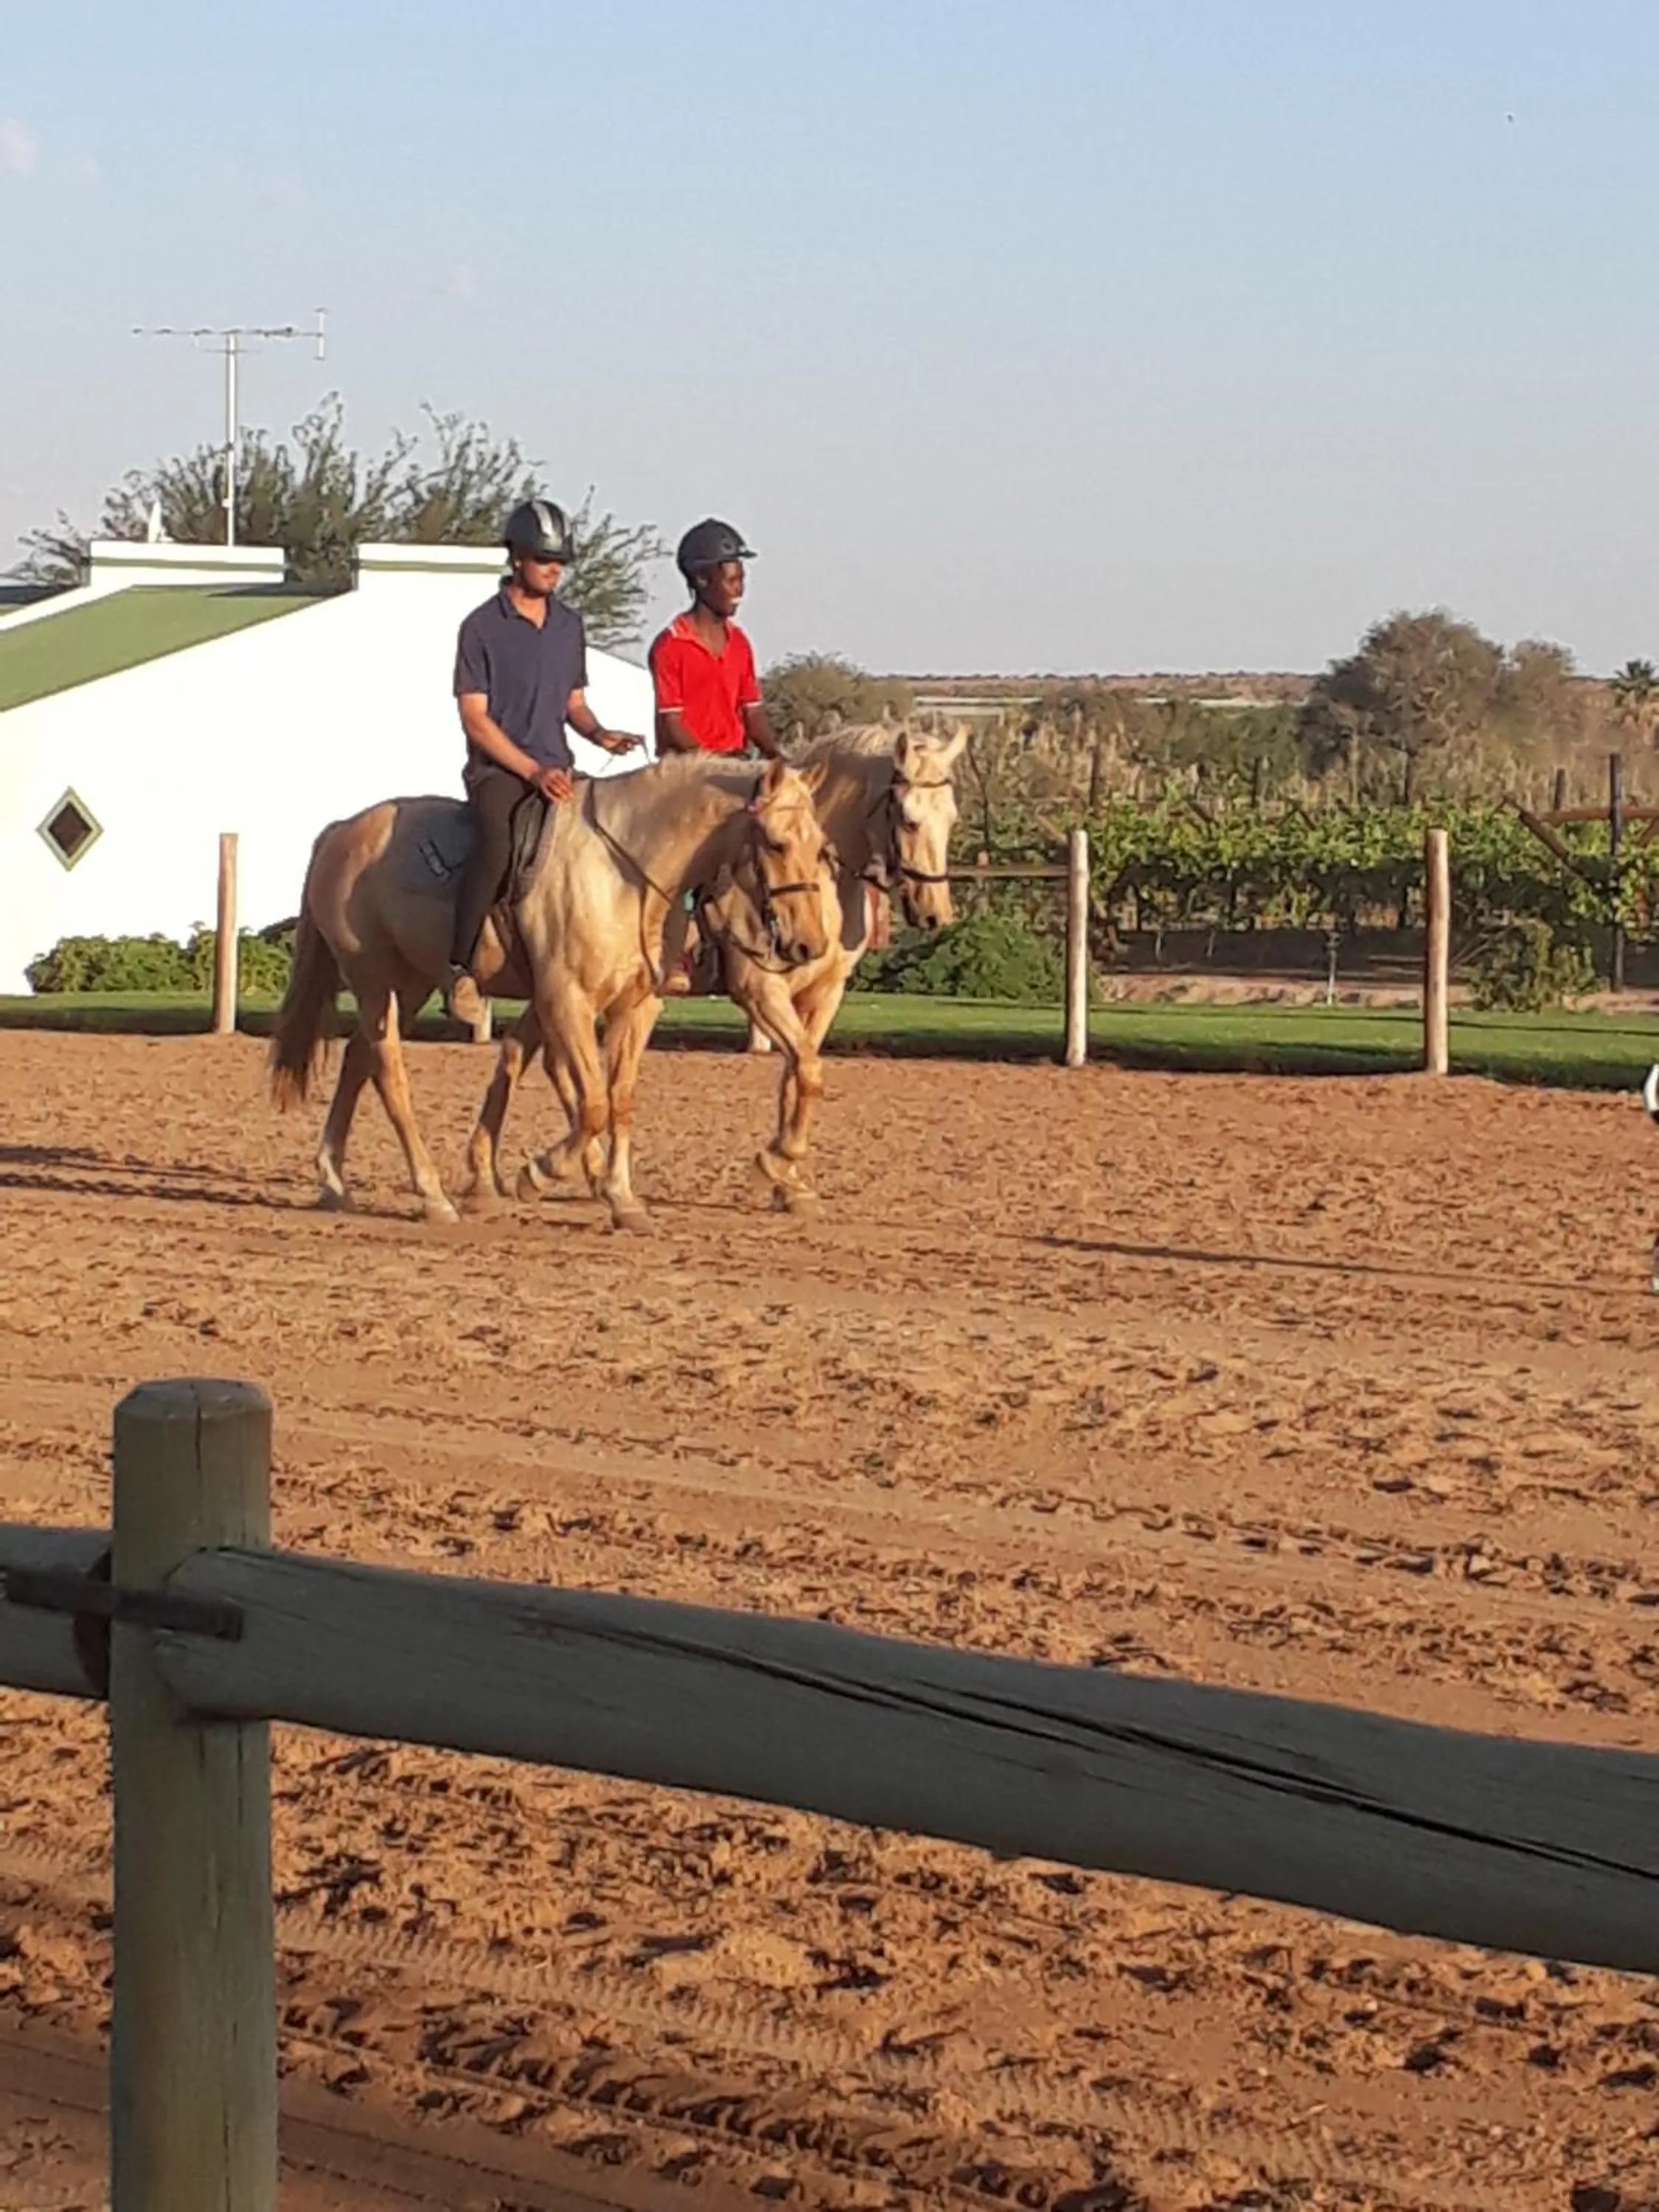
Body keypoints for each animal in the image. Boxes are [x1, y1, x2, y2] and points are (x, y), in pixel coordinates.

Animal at [268, 754, 833, 1229]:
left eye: (821, 846)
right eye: (777, 843)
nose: (810, 943)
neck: (625, 871)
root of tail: (343, 831)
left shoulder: (636, 1006)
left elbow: (619, 1098)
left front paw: (622, 1198)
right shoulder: (567, 999)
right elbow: (593, 1102)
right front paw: (538, 1173)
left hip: (408, 985)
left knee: (358, 1061)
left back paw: (334, 1182)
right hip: (374, 980)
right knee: (388, 1073)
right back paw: (432, 1196)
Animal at [462, 724, 966, 1213]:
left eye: (952, 819)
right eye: (909, 819)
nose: (935, 914)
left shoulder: (824, 993)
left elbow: (799, 1077)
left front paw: (790, 1182)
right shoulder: (760, 989)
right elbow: (806, 1068)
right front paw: (776, 1163)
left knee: (526, 1056)